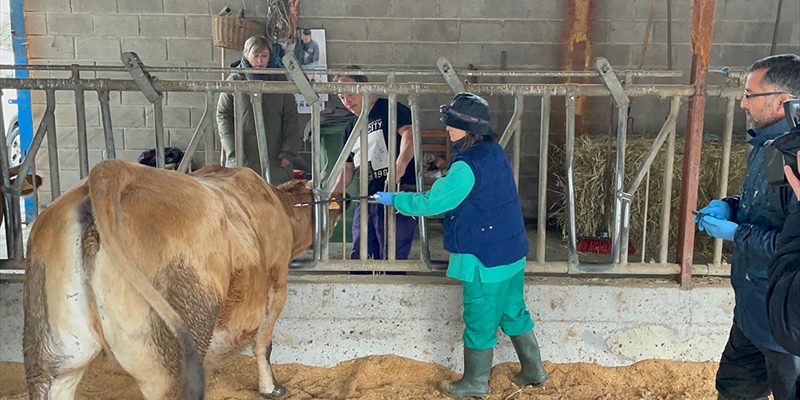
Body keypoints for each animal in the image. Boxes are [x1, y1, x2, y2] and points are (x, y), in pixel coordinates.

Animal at [21, 159, 340, 400]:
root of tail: (113, 171)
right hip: (170, 355)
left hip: (55, 351)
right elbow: (264, 342)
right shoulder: (277, 282)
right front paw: (272, 388)